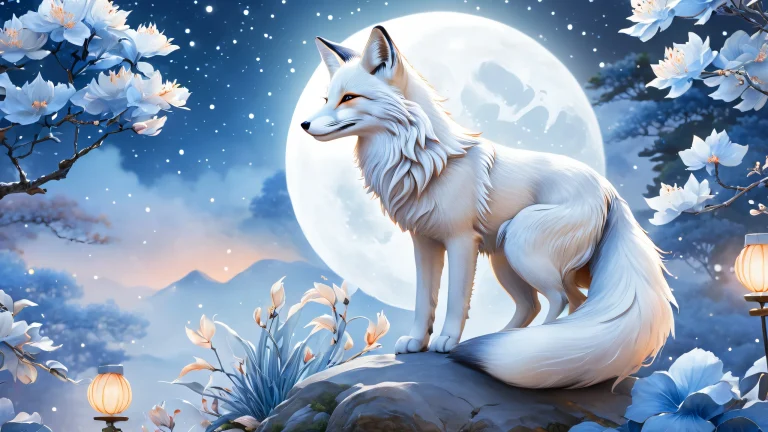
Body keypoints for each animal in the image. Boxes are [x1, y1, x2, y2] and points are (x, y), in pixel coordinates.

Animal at [301, 26, 677, 389]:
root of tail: (609, 190)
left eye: (349, 98)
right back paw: (502, 340)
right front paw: (417, 342)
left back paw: (533, 348)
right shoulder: (424, 242)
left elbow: (455, 300)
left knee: (563, 300)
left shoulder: (461, 241)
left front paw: (446, 341)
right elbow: (424, 300)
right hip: (505, 259)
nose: (303, 124)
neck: (424, 161)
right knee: (542, 304)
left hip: (521, 243)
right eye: (327, 99)